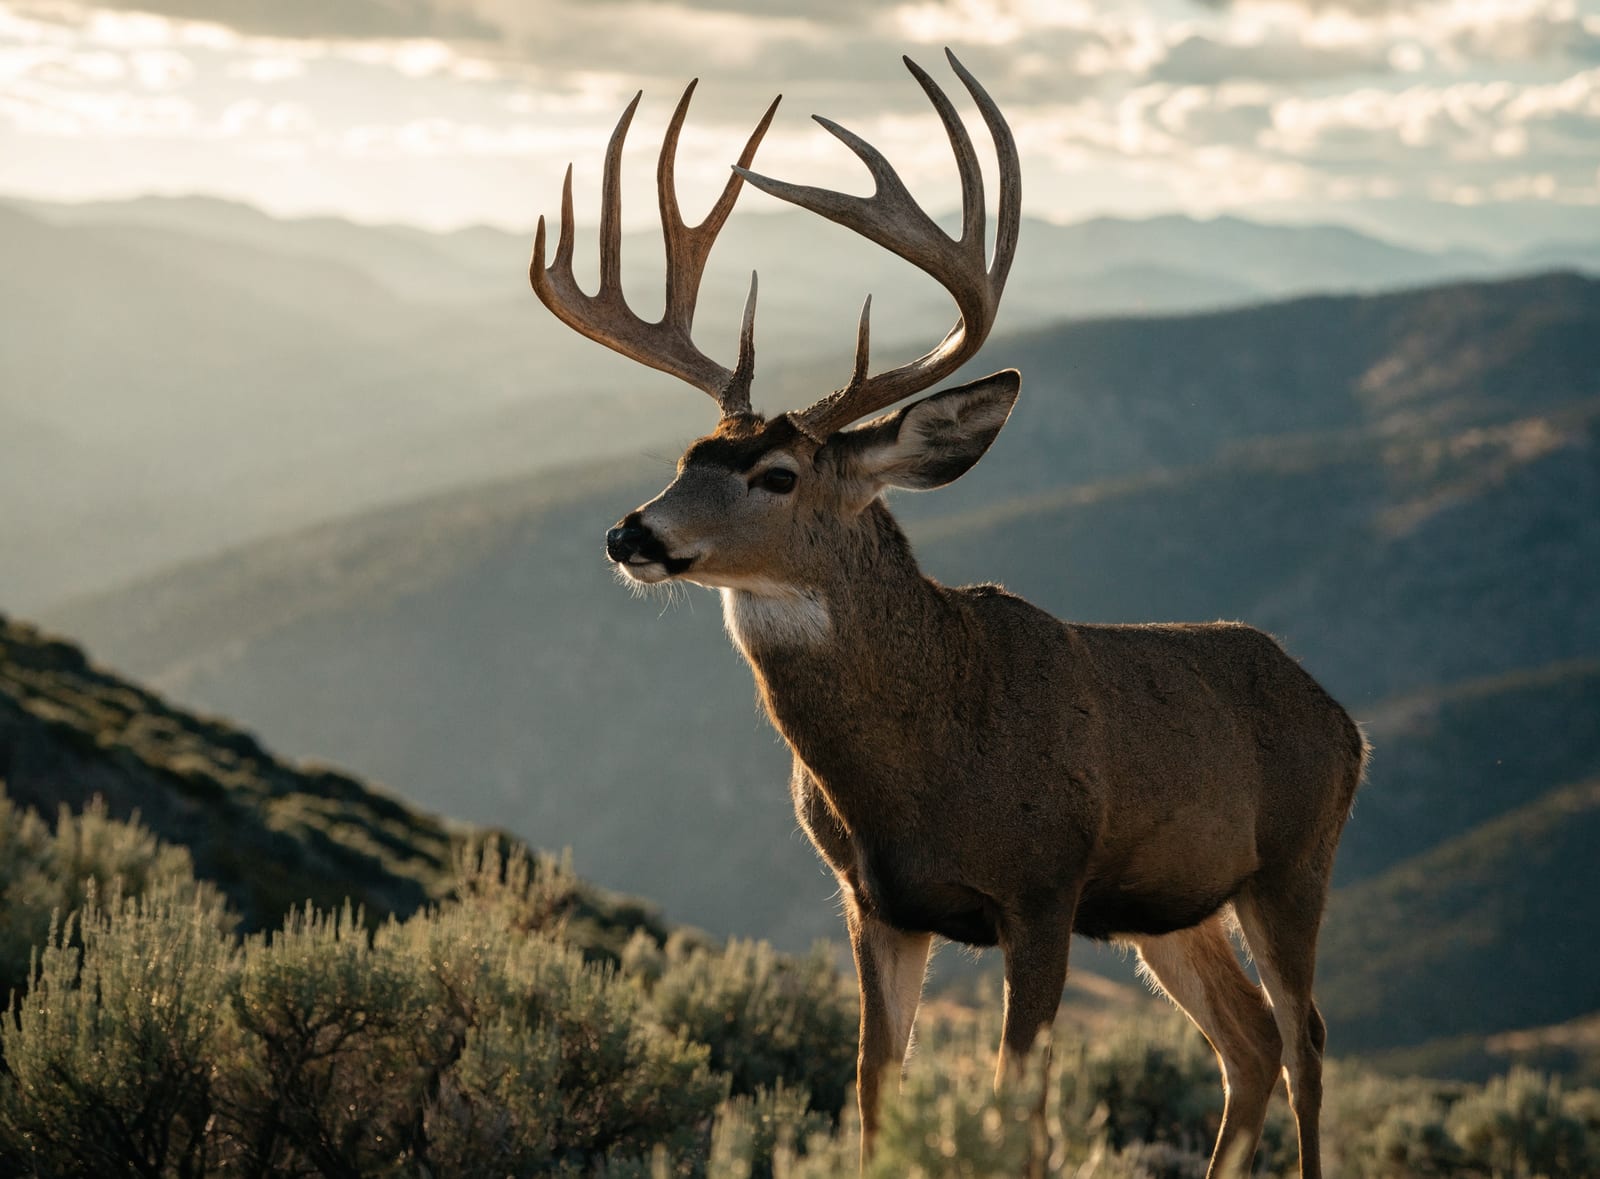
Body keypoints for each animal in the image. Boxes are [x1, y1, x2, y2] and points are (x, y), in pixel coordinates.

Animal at [527, 51, 1367, 1179]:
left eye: (777, 474)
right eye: (688, 457)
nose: (632, 534)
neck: (922, 768)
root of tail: (1344, 719)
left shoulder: (1045, 889)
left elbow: (1020, 1111)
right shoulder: (874, 901)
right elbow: (874, 1089)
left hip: (1293, 863)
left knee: (1307, 1038)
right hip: (1169, 906)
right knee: (1251, 1041)